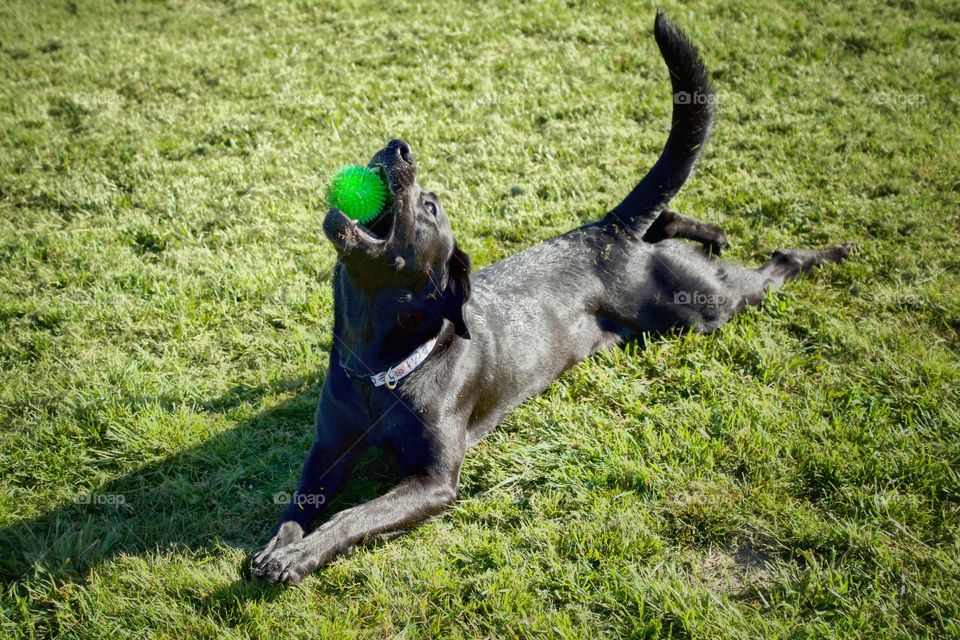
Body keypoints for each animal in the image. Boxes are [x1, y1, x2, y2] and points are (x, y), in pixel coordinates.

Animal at [251, 13, 852, 584]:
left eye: (431, 208)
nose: (399, 146)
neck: (379, 365)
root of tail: (607, 230)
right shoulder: (326, 454)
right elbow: (295, 507)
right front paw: (277, 546)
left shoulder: (433, 480)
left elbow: (353, 516)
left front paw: (298, 557)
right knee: (665, 219)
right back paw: (714, 232)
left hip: (705, 306)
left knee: (775, 262)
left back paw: (830, 252)